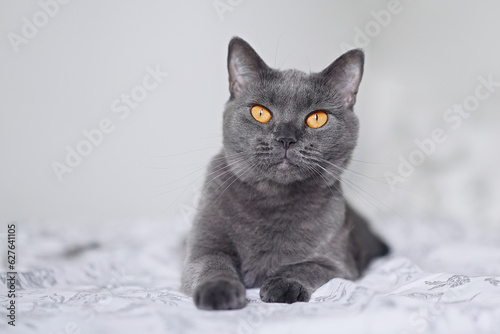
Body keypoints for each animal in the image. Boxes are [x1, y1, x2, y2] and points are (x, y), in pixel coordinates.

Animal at [182, 37, 388, 310]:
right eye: (260, 112)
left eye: (317, 118)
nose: (286, 138)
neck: (274, 199)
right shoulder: (203, 247)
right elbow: (212, 264)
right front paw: (219, 291)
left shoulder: (339, 263)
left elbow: (307, 266)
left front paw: (283, 284)